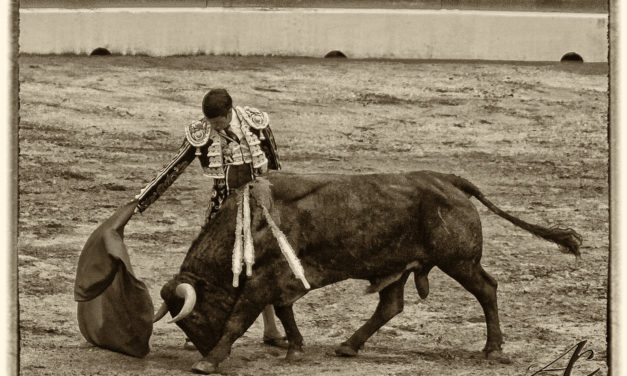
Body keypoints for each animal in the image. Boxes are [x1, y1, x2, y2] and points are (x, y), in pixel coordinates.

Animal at [153, 170, 584, 374]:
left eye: (194, 319)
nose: (201, 347)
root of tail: (448, 180)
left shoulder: (263, 280)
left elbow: (240, 317)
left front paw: (210, 361)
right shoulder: (284, 280)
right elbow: (286, 311)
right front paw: (295, 347)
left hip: (459, 262)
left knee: (487, 289)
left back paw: (493, 348)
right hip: (400, 266)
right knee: (390, 306)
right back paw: (349, 345)